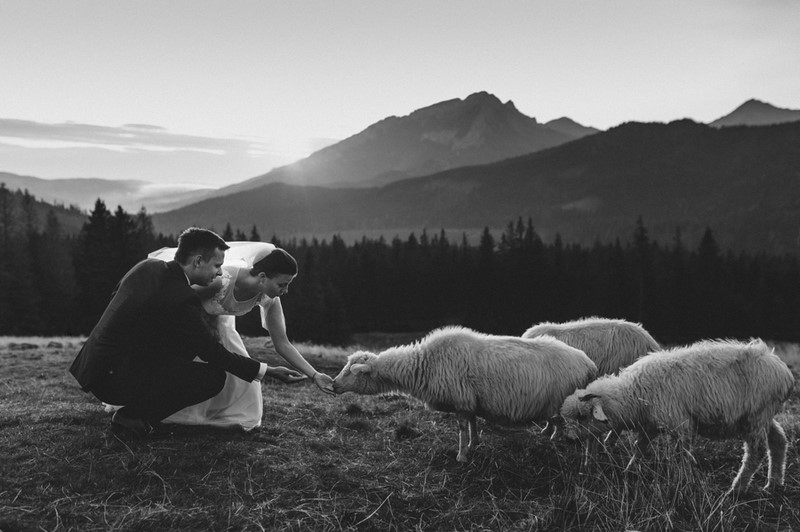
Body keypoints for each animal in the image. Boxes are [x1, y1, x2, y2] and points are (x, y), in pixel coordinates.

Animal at [328, 324, 596, 462]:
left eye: (351, 371)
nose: (333, 385)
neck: (425, 364)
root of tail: (588, 362)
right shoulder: (469, 402)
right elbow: (473, 423)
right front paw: (474, 443)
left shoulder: (460, 401)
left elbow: (460, 428)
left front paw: (461, 455)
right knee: (557, 420)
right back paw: (550, 433)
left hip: (564, 399)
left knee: (569, 422)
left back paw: (559, 440)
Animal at [560, 338, 796, 496]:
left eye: (582, 416)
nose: (568, 440)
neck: (633, 394)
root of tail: (784, 372)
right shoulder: (650, 425)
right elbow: (639, 448)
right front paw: (629, 470)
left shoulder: (680, 424)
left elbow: (682, 455)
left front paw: (684, 480)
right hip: (762, 417)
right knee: (778, 441)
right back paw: (774, 483)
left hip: (756, 416)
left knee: (756, 452)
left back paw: (737, 488)